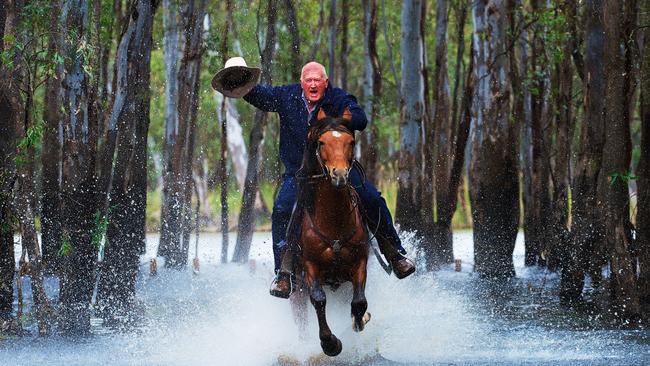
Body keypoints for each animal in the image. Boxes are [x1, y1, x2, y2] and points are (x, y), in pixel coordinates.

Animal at [288, 107, 370, 356]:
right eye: (321, 142)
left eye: (351, 141)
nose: (339, 175)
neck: (333, 221)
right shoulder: (310, 266)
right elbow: (318, 299)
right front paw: (330, 343)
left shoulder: (360, 261)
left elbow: (359, 302)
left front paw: (360, 320)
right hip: (296, 289)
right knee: (301, 317)